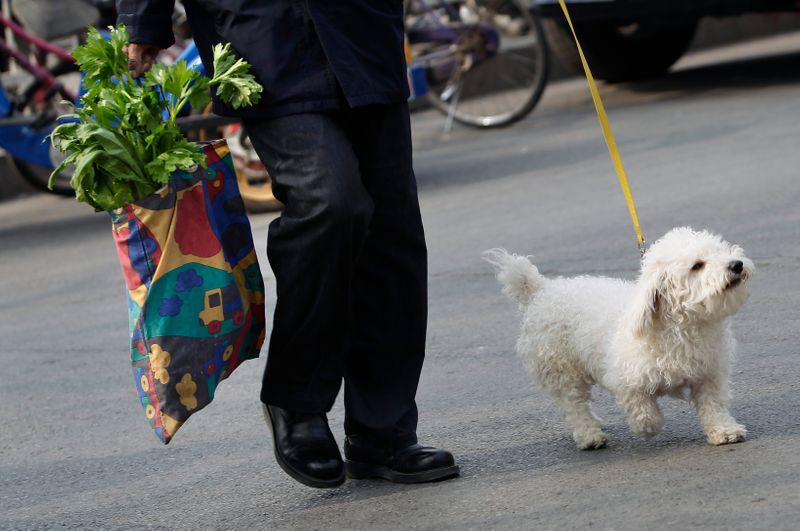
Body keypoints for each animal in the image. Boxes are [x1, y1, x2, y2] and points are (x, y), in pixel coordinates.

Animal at [484, 227, 752, 450]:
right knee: (574, 406)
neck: (682, 326)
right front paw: (647, 427)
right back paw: (590, 436)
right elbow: (643, 409)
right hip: (562, 371)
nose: (737, 264)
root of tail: (541, 290)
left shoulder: (709, 374)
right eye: (697, 265)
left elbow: (713, 406)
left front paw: (724, 431)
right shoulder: (625, 379)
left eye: (722, 250)